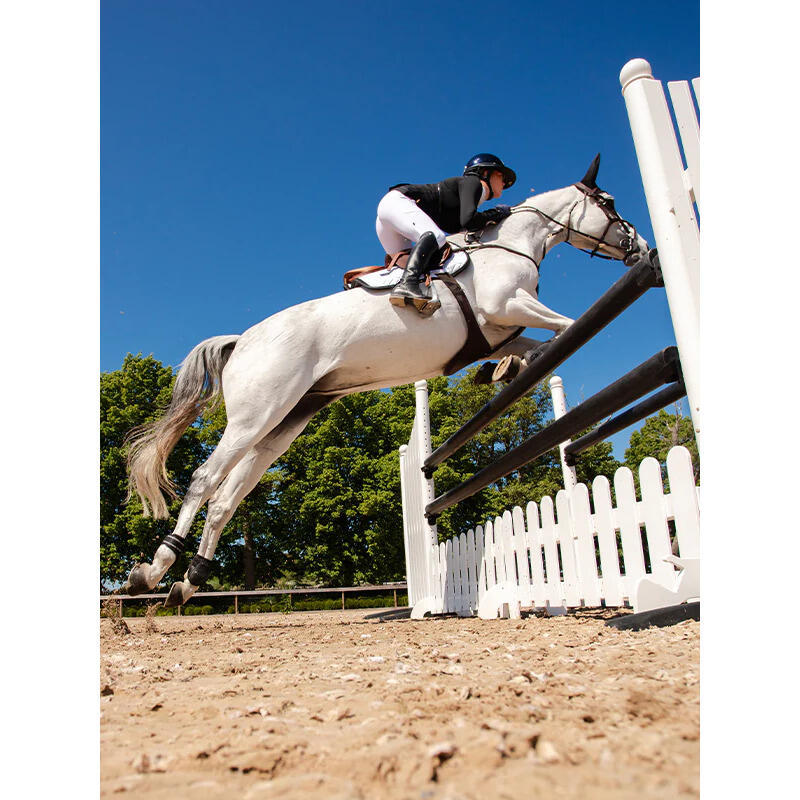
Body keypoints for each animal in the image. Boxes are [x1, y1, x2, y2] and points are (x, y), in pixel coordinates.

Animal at [123, 155, 648, 606]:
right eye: (611, 203)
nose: (641, 248)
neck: (510, 244)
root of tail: (243, 340)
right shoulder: (508, 304)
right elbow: (570, 323)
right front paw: (515, 364)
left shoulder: (498, 331)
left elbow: (532, 344)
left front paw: (504, 370)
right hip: (256, 417)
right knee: (204, 481)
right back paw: (153, 570)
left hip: (284, 422)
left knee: (226, 499)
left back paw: (189, 582)